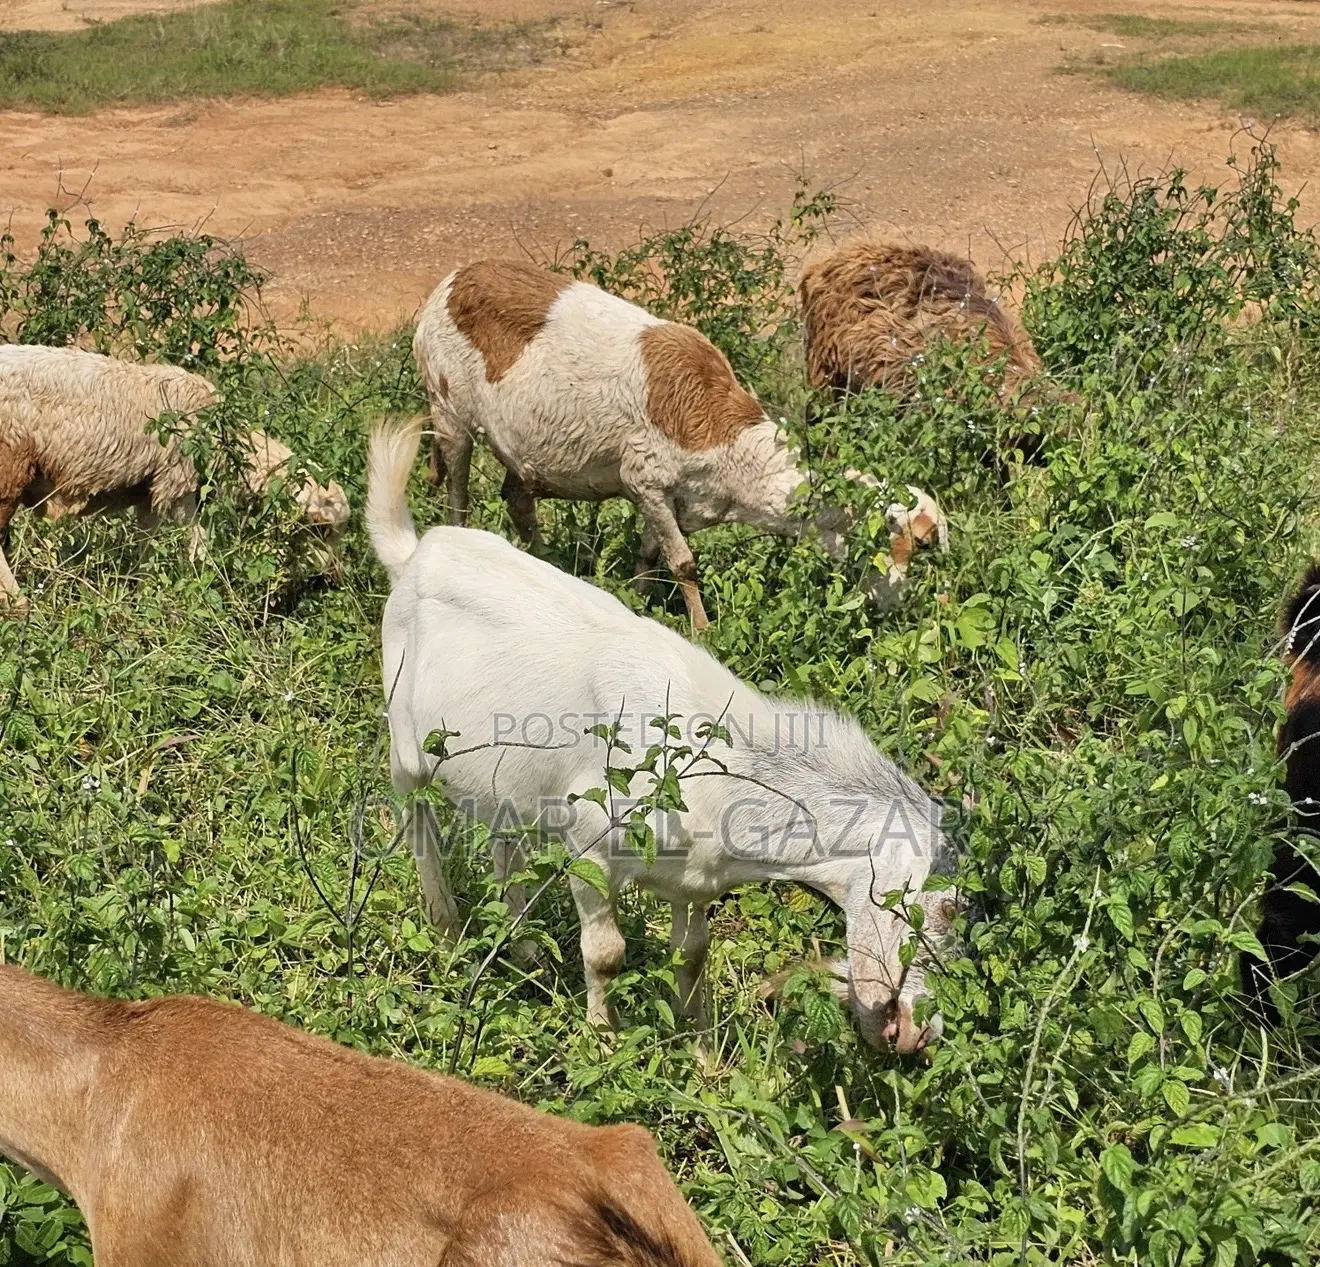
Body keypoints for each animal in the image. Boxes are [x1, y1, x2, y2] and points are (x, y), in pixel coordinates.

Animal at [0, 344, 350, 608]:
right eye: (322, 530)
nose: (330, 580)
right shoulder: (178, 484)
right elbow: (198, 543)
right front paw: (207, 591)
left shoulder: (149, 491)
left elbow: (148, 544)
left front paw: (142, 592)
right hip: (9, 465)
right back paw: (19, 605)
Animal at [367, 418, 961, 1054]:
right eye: (945, 910)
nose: (921, 1034)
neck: (718, 769)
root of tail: (416, 555)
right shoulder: (589, 848)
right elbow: (606, 953)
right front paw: (604, 1042)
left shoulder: (694, 885)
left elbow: (693, 955)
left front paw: (702, 1054)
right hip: (406, 746)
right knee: (418, 824)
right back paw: (448, 932)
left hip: (506, 785)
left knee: (507, 847)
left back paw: (525, 951)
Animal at [413, 258, 946, 631]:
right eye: (913, 544)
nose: (902, 609)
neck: (736, 453)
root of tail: (452, 280)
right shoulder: (645, 481)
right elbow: (685, 565)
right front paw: (703, 630)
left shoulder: (671, 500)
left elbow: (650, 556)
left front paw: (639, 601)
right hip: (448, 412)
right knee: (458, 498)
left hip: (524, 452)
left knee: (518, 502)